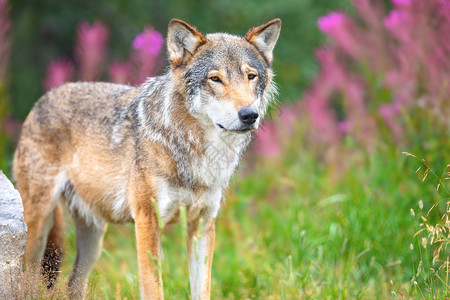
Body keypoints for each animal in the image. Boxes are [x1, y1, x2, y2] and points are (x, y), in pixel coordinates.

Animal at [13, 18, 282, 298]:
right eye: (215, 79)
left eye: (250, 76)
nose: (249, 115)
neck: (195, 150)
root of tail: (43, 98)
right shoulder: (147, 220)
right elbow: (154, 287)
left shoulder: (203, 225)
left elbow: (202, 289)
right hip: (38, 225)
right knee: (29, 275)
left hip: (93, 238)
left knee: (73, 284)